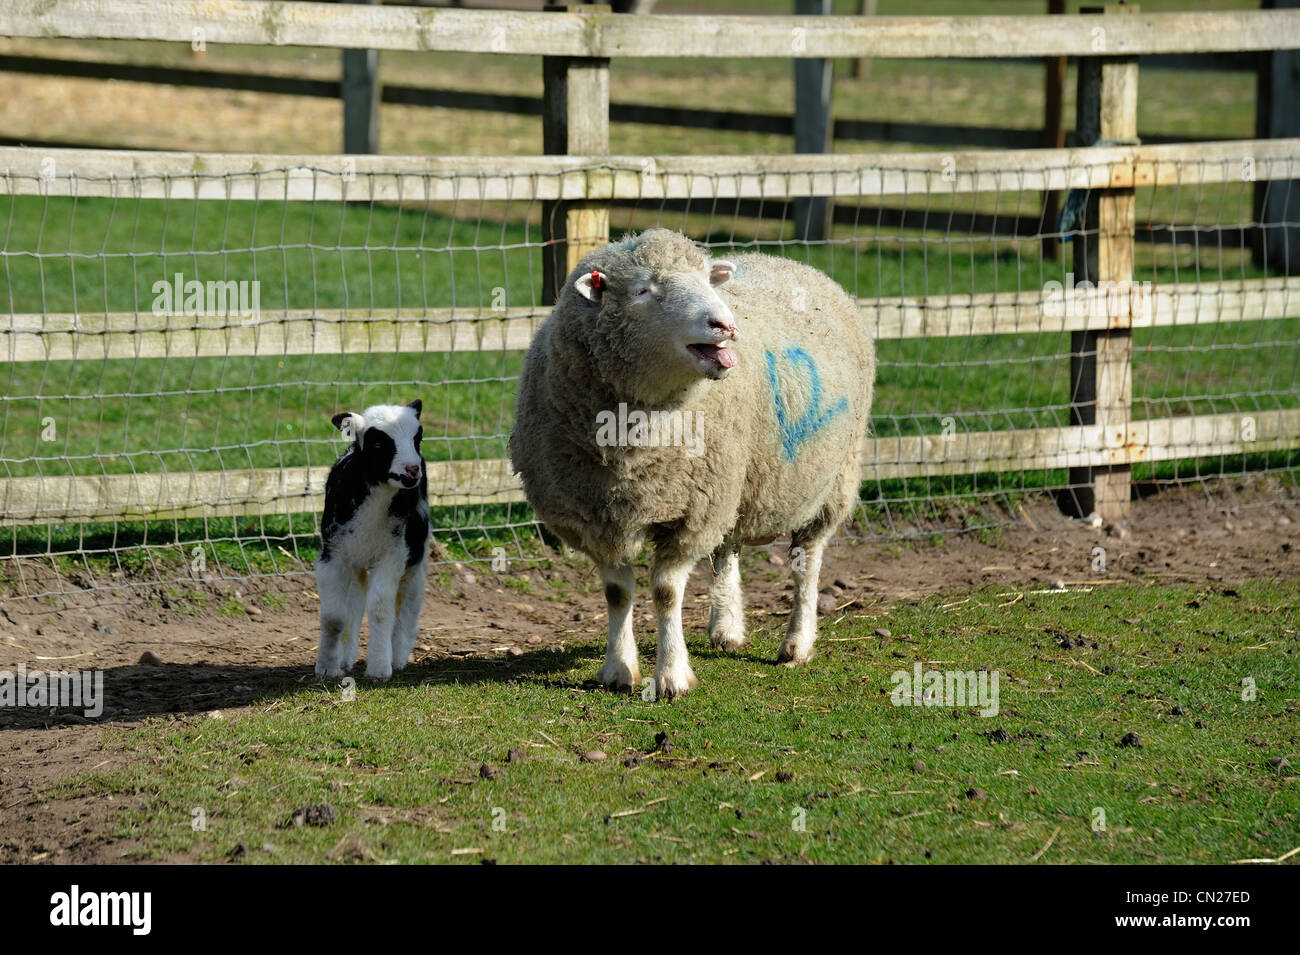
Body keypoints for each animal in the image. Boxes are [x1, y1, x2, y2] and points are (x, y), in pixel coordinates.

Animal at [506, 227, 873, 696]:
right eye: (642, 290)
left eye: (705, 279)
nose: (725, 325)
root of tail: (788, 261)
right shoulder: (597, 516)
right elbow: (616, 593)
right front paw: (618, 670)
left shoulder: (690, 512)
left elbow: (665, 593)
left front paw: (672, 676)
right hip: (734, 481)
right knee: (728, 547)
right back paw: (727, 629)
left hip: (833, 475)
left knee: (806, 560)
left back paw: (797, 643)